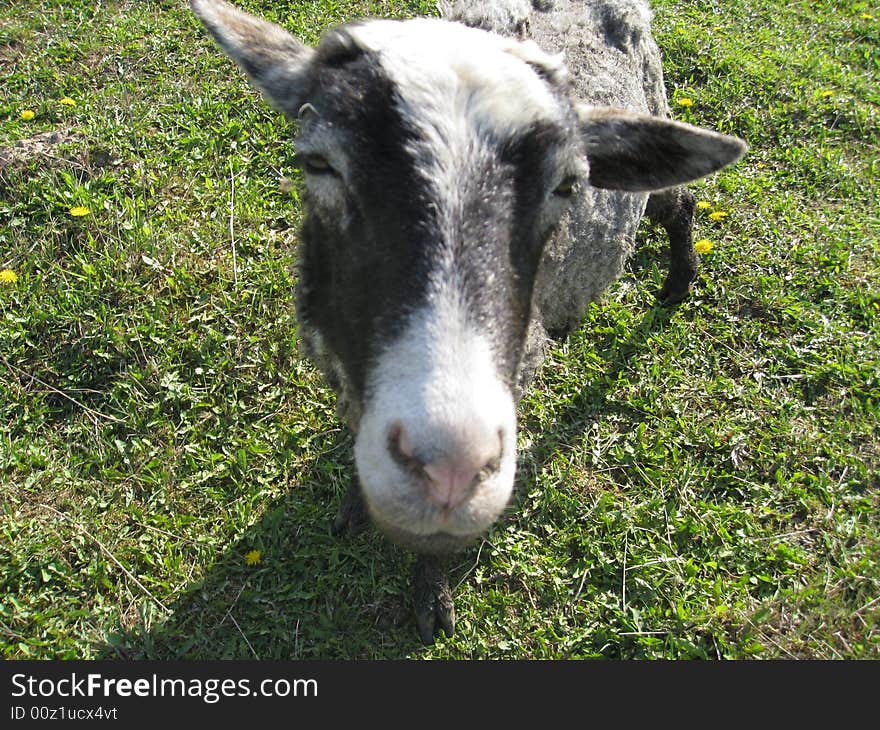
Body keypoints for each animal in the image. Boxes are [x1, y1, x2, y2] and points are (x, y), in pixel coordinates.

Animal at [191, 0, 744, 636]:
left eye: (568, 184)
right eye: (318, 162)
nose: (450, 467)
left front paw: (431, 595)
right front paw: (356, 498)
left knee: (680, 205)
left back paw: (678, 283)